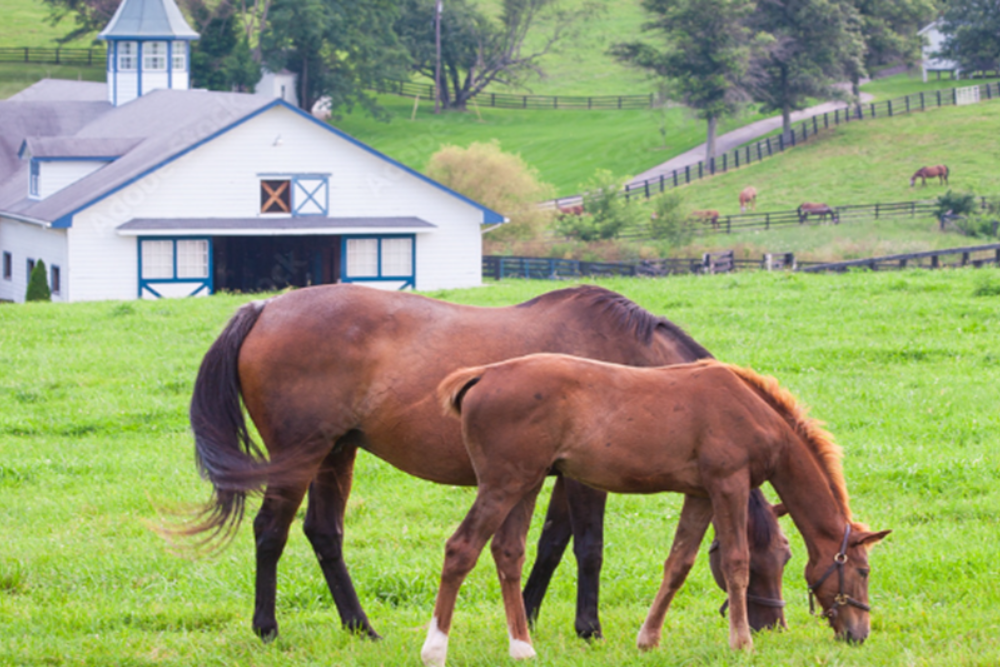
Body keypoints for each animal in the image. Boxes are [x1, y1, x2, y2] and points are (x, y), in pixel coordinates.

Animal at [185, 284, 788, 643]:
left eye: (784, 555)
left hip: (338, 451)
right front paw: (587, 628)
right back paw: (268, 628)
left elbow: (549, 545)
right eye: (764, 558)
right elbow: (588, 549)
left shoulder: (560, 475)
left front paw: (528, 615)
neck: (634, 364)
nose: (772, 625)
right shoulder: (589, 480)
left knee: (323, 533)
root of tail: (265, 308)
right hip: (301, 455)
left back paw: (361, 628)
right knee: (270, 531)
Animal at [425, 354, 890, 666]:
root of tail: (483, 374)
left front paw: (648, 639)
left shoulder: (700, 494)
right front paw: (742, 642)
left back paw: (522, 648)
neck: (753, 411)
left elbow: (678, 564)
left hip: (527, 483)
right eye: (863, 571)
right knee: (460, 549)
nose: (859, 634)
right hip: (503, 484)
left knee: (508, 553)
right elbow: (736, 563)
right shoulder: (729, 484)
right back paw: (435, 649)